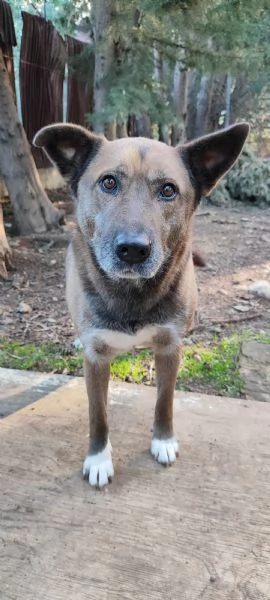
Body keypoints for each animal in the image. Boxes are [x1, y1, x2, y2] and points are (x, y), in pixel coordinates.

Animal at [33, 122, 249, 488]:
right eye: (108, 182)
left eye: (168, 190)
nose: (133, 250)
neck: (131, 293)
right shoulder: (96, 358)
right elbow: (98, 415)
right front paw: (98, 458)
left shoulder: (170, 348)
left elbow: (165, 400)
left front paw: (163, 440)